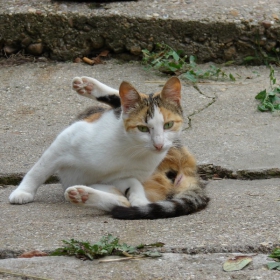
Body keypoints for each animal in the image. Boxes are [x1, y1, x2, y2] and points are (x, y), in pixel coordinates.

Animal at [8, 76, 208, 219]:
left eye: (168, 125)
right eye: (143, 128)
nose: (158, 144)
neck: (130, 149)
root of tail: (188, 165)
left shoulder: (117, 177)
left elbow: (128, 194)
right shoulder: (66, 141)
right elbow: (38, 170)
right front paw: (23, 192)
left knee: (125, 203)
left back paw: (83, 195)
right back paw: (88, 85)